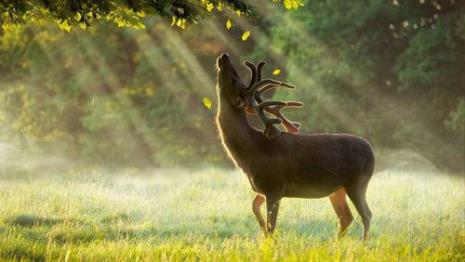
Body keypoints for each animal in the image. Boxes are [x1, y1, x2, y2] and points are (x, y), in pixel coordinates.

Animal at [216, 53, 376, 239]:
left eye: (235, 79)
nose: (224, 56)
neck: (251, 151)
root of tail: (371, 151)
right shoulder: (263, 189)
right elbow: (255, 208)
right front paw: (262, 233)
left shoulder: (274, 186)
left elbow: (272, 226)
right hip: (338, 188)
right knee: (346, 216)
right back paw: (336, 242)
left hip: (357, 181)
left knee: (366, 214)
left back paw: (364, 243)